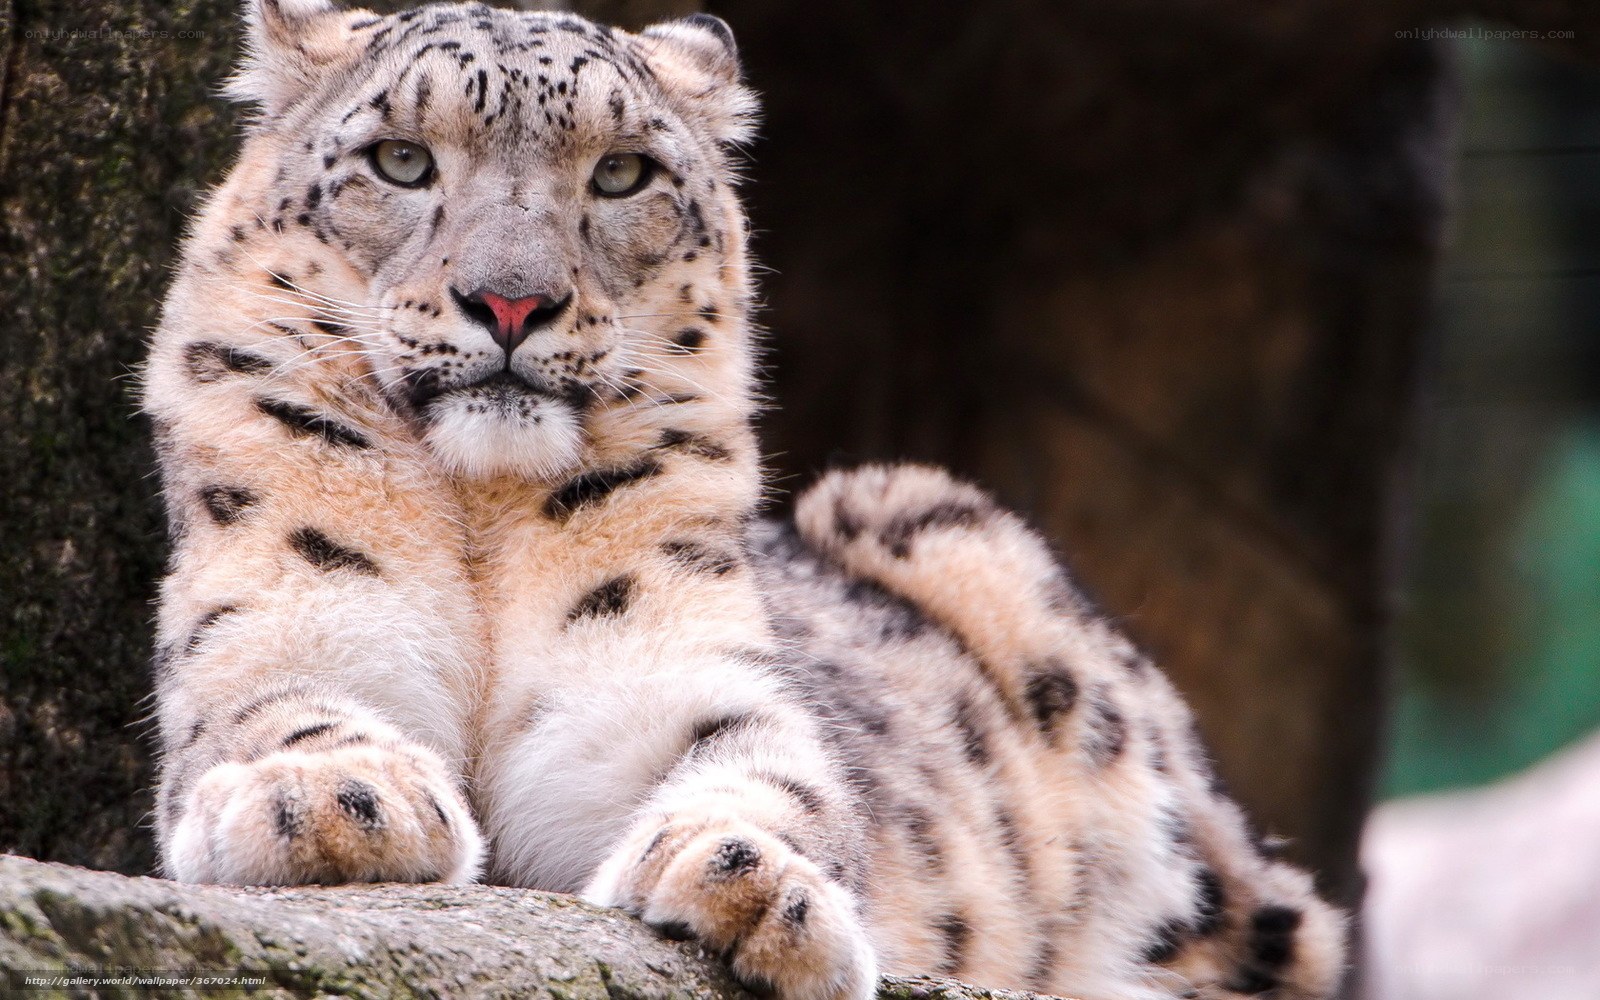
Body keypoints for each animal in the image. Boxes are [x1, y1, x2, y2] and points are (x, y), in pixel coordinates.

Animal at [140, 2, 1347, 998]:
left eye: (621, 174)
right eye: (399, 159)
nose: (511, 301)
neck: (482, 519)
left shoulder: (683, 682)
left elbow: (768, 774)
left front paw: (749, 881)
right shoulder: (280, 623)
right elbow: (278, 706)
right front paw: (328, 802)